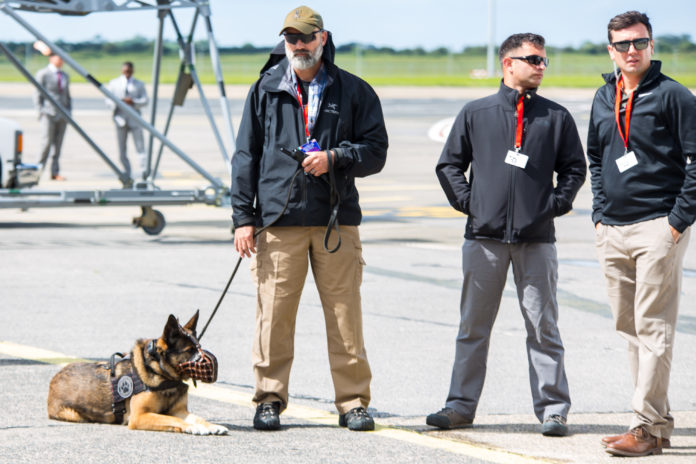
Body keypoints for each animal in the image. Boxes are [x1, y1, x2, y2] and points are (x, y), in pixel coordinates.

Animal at [47, 312, 227, 436]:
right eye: (189, 350)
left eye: (199, 347)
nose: (212, 363)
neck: (161, 373)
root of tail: (54, 380)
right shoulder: (139, 416)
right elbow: (172, 419)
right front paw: (193, 427)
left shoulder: (179, 411)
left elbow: (198, 417)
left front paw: (210, 425)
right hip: (74, 414)